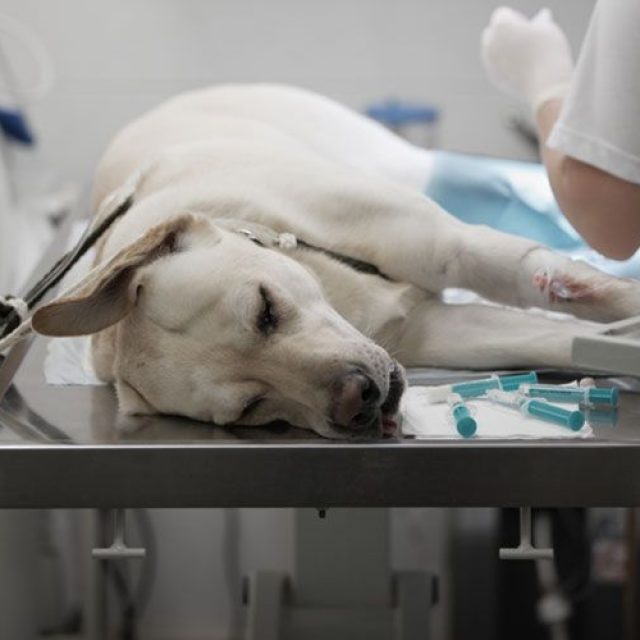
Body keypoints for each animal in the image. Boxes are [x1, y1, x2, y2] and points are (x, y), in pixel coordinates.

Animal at [29, 84, 640, 439]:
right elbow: (554, 340)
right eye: (251, 409)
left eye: (265, 309)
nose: (358, 399)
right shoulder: (438, 331)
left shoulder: (450, 249)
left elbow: (562, 284)